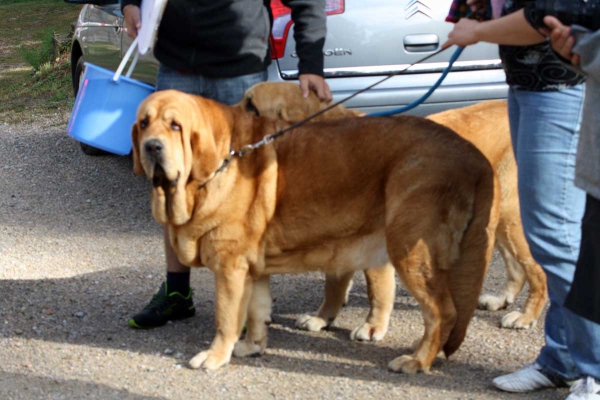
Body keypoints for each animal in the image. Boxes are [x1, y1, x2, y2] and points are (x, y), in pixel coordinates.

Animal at [134, 89, 500, 374]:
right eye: (144, 123)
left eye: (175, 125)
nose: (151, 147)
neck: (219, 162)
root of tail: (472, 155)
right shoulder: (253, 269)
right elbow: (256, 310)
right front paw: (253, 346)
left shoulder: (230, 268)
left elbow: (226, 318)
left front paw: (214, 356)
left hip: (410, 249)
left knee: (442, 311)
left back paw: (417, 360)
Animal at [240, 82, 548, 340]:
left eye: (251, 105)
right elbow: (333, 285)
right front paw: (322, 319)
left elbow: (377, 290)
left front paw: (371, 326)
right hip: (496, 223)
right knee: (516, 268)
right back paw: (500, 300)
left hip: (512, 219)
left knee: (537, 271)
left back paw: (525, 316)